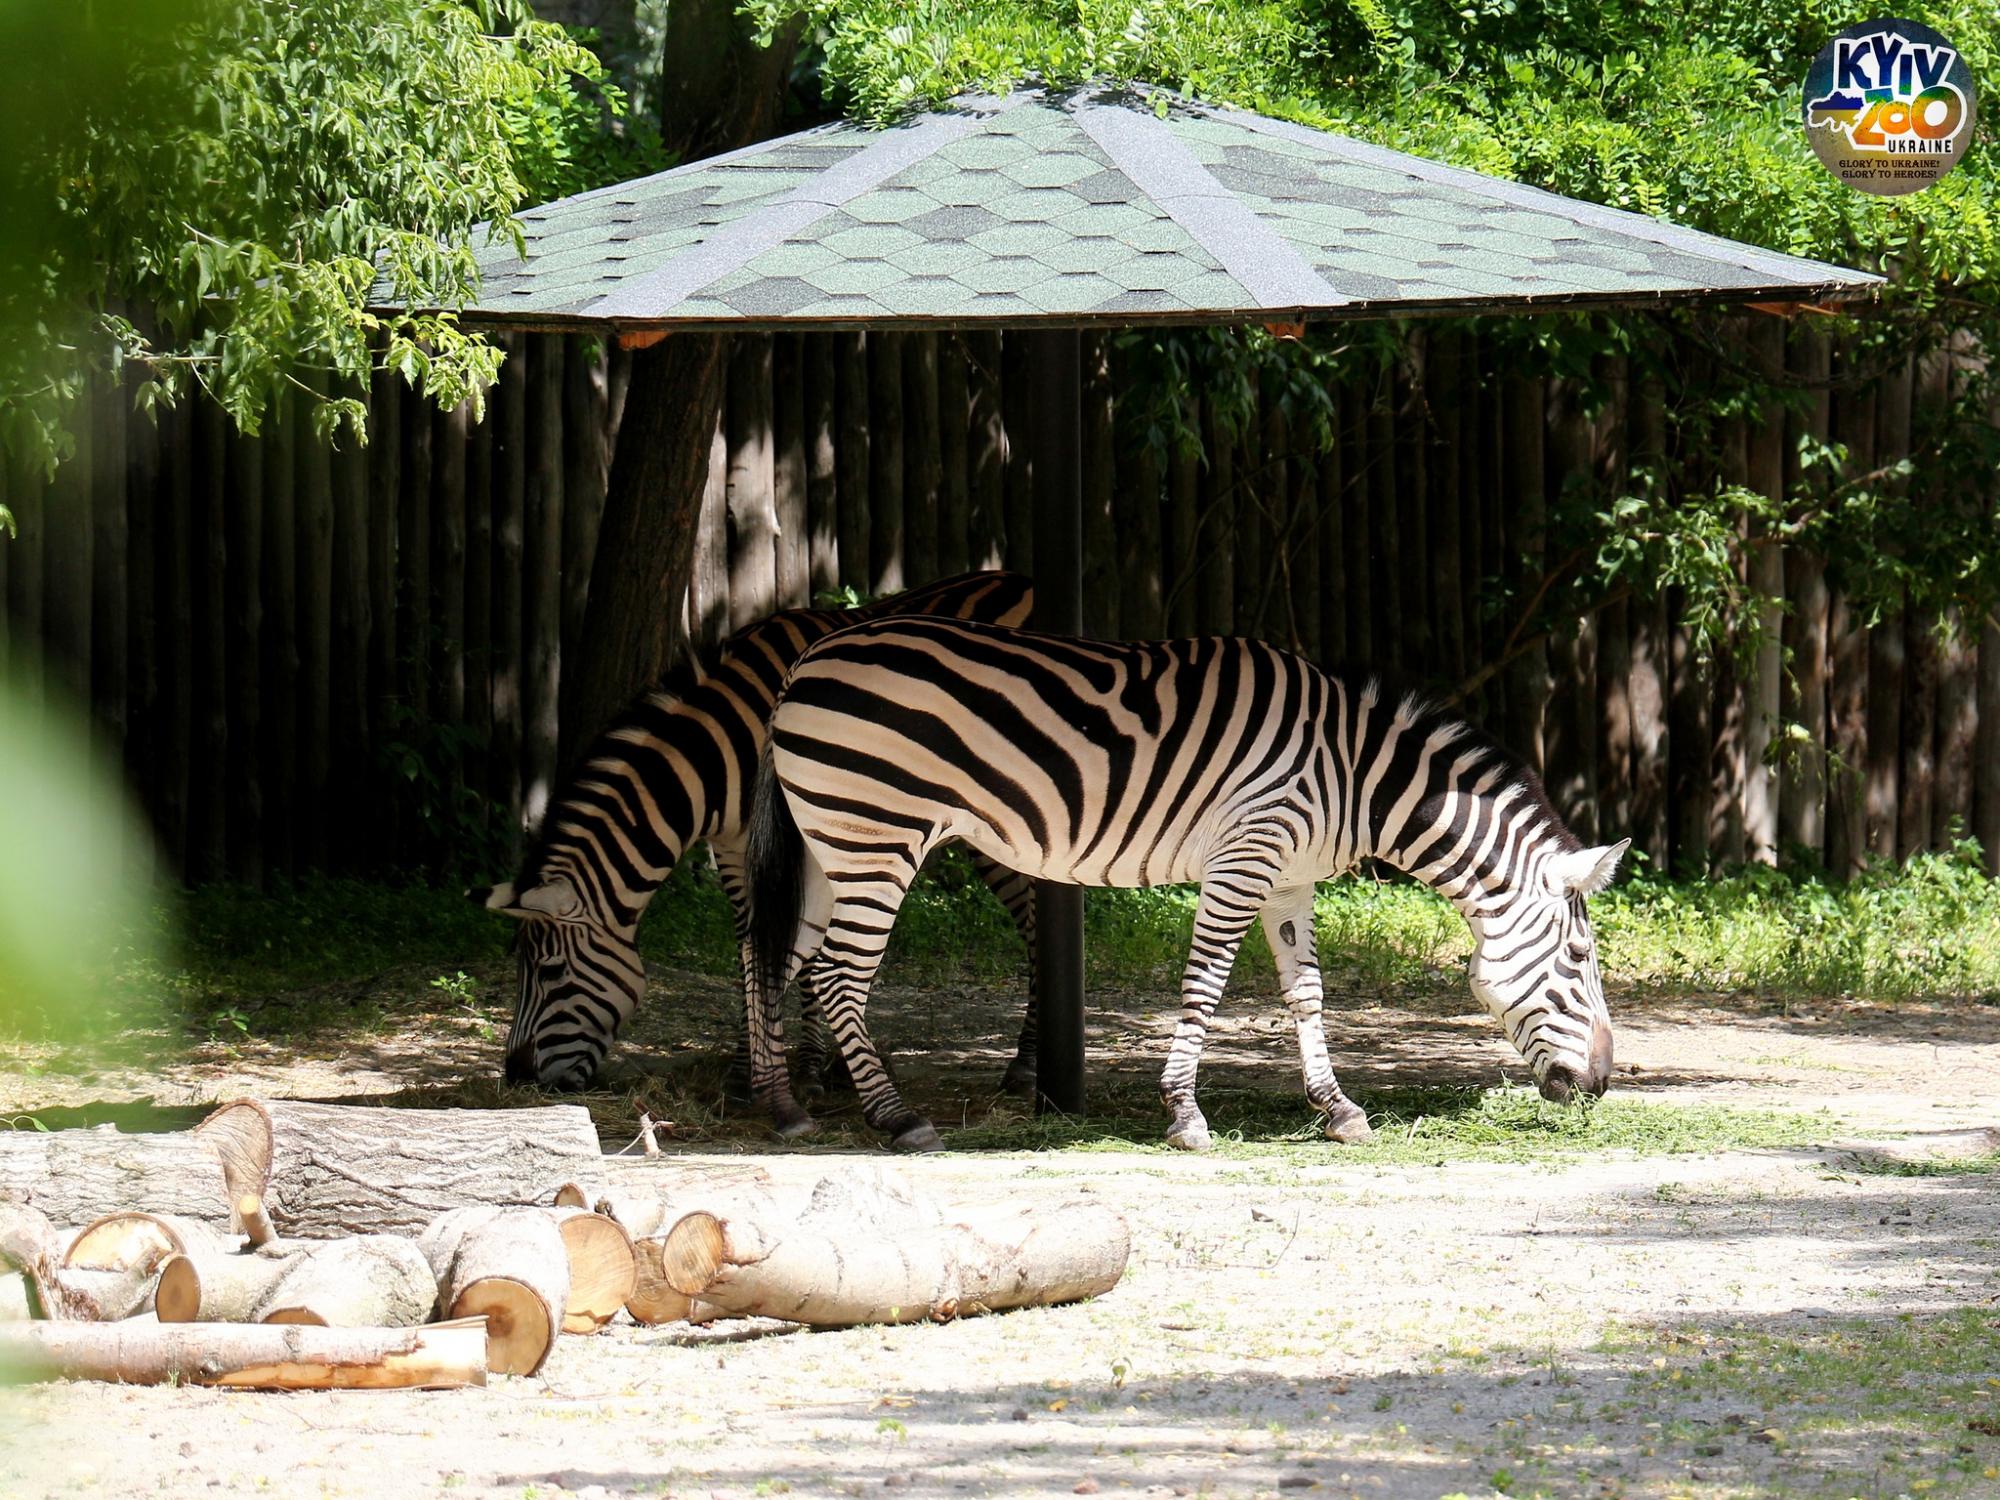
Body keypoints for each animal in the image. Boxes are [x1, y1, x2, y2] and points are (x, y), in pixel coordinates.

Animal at [480, 572, 1048, 1096]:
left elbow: (804, 952)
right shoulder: (734, 850)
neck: (720, 758)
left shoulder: (809, 839)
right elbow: (753, 944)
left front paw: (808, 1069)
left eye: (551, 971)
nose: (517, 1076)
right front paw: (749, 1069)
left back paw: (1026, 1065)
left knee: (1035, 924)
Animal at [748, 616, 1624, 1160]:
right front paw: (1184, 1113)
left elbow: (1306, 993)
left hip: (829, 844)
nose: (1601, 1086)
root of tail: (807, 660)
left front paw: (1337, 1108)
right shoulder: (1245, 858)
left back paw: (782, 1107)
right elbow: (1205, 984)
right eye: (1580, 957)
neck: (1354, 775)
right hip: (879, 836)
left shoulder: (1289, 881)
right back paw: (896, 1118)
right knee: (838, 975)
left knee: (776, 962)